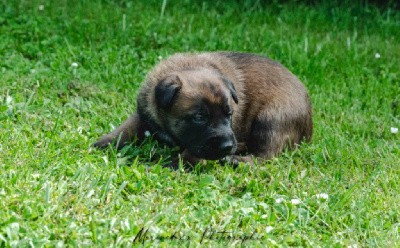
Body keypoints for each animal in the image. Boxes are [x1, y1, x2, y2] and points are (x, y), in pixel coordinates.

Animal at [94, 52, 312, 167]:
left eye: (229, 114)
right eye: (199, 117)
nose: (226, 146)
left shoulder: (202, 147)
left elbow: (188, 156)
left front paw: (168, 166)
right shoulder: (144, 115)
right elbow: (125, 129)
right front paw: (103, 143)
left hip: (270, 120)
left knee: (265, 155)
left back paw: (235, 158)